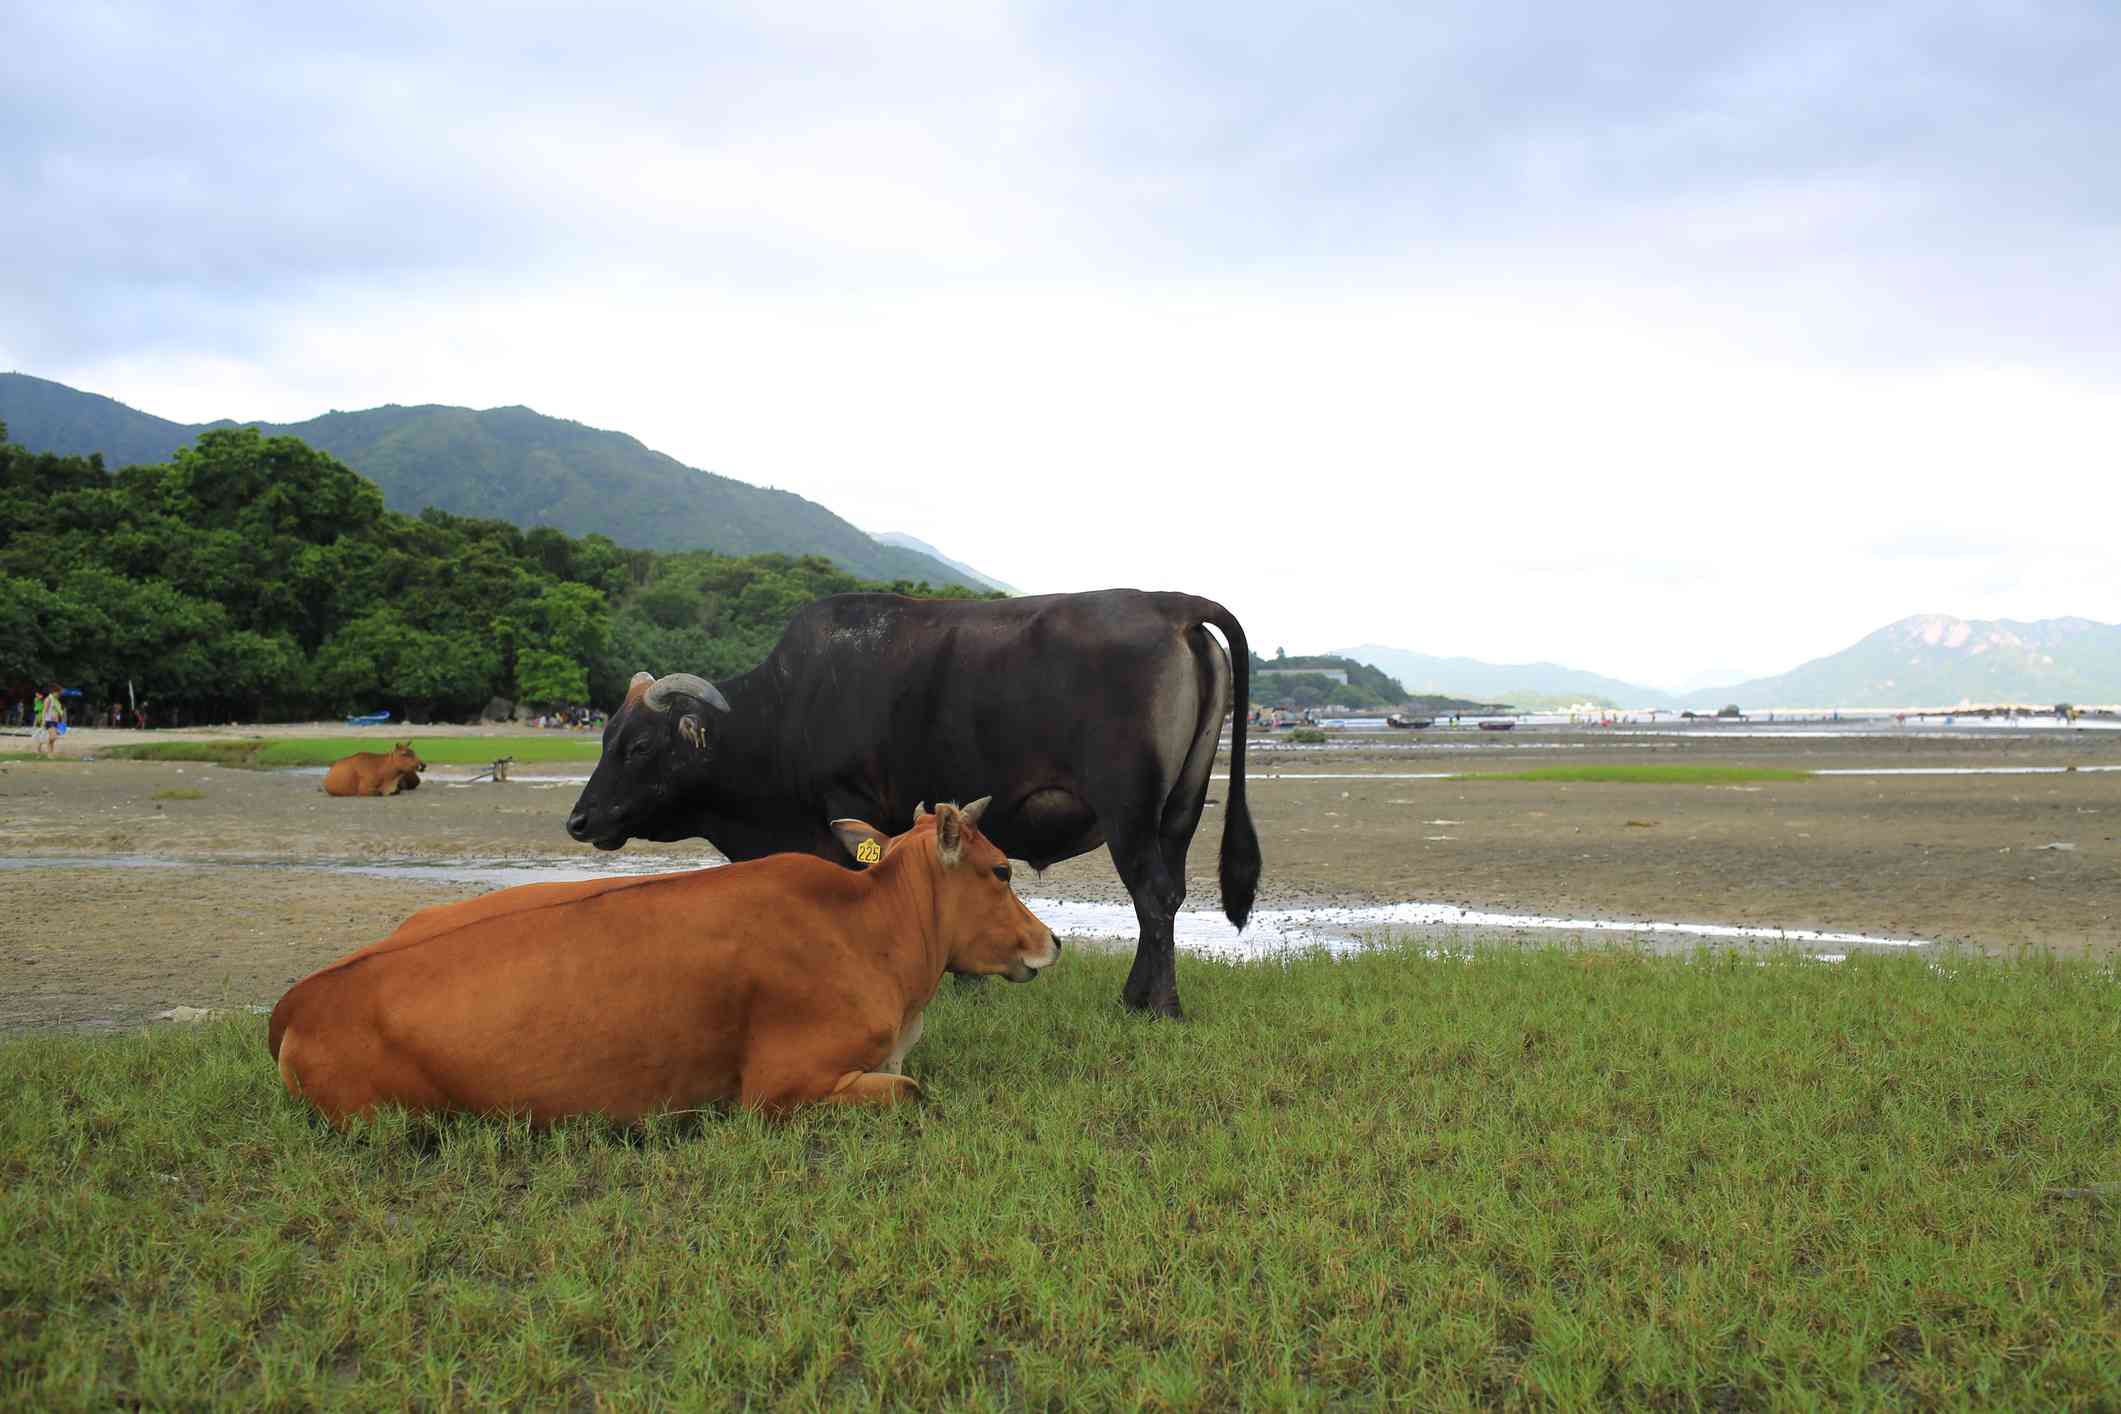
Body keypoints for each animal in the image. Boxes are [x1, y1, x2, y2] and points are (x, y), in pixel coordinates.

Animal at [568, 589, 1255, 1017]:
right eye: (604, 737)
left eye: (639, 745)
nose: (578, 819)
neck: (785, 709)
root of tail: (1172, 604)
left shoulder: (847, 805)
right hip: (1178, 811)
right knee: (1164, 899)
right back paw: (1136, 996)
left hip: (1127, 812)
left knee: (1153, 896)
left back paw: (1158, 1007)